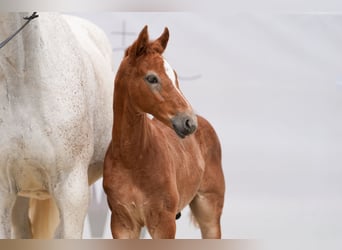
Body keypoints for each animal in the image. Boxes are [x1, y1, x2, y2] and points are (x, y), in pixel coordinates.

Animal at [103, 26, 226, 239]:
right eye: (152, 78)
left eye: (175, 77)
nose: (189, 122)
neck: (132, 159)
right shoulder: (122, 223)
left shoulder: (164, 223)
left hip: (209, 210)